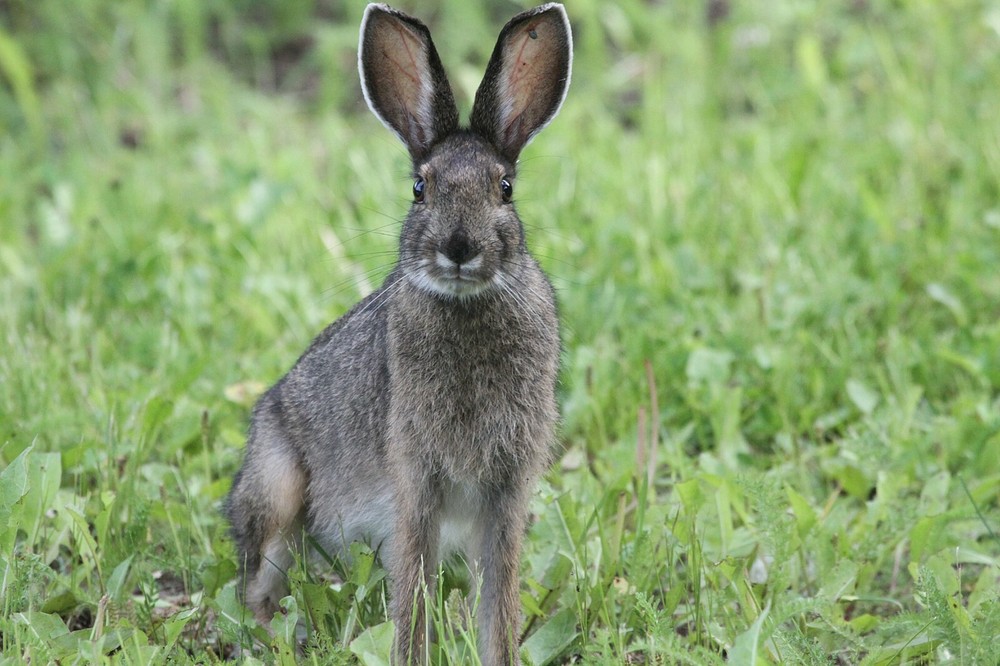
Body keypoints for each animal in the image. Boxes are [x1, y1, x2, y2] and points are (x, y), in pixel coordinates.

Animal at [225, 3, 572, 664]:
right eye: (420, 187)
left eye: (505, 188)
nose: (458, 247)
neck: (465, 306)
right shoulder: (415, 485)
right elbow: (413, 595)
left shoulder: (506, 493)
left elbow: (499, 601)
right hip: (276, 489)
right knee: (256, 588)